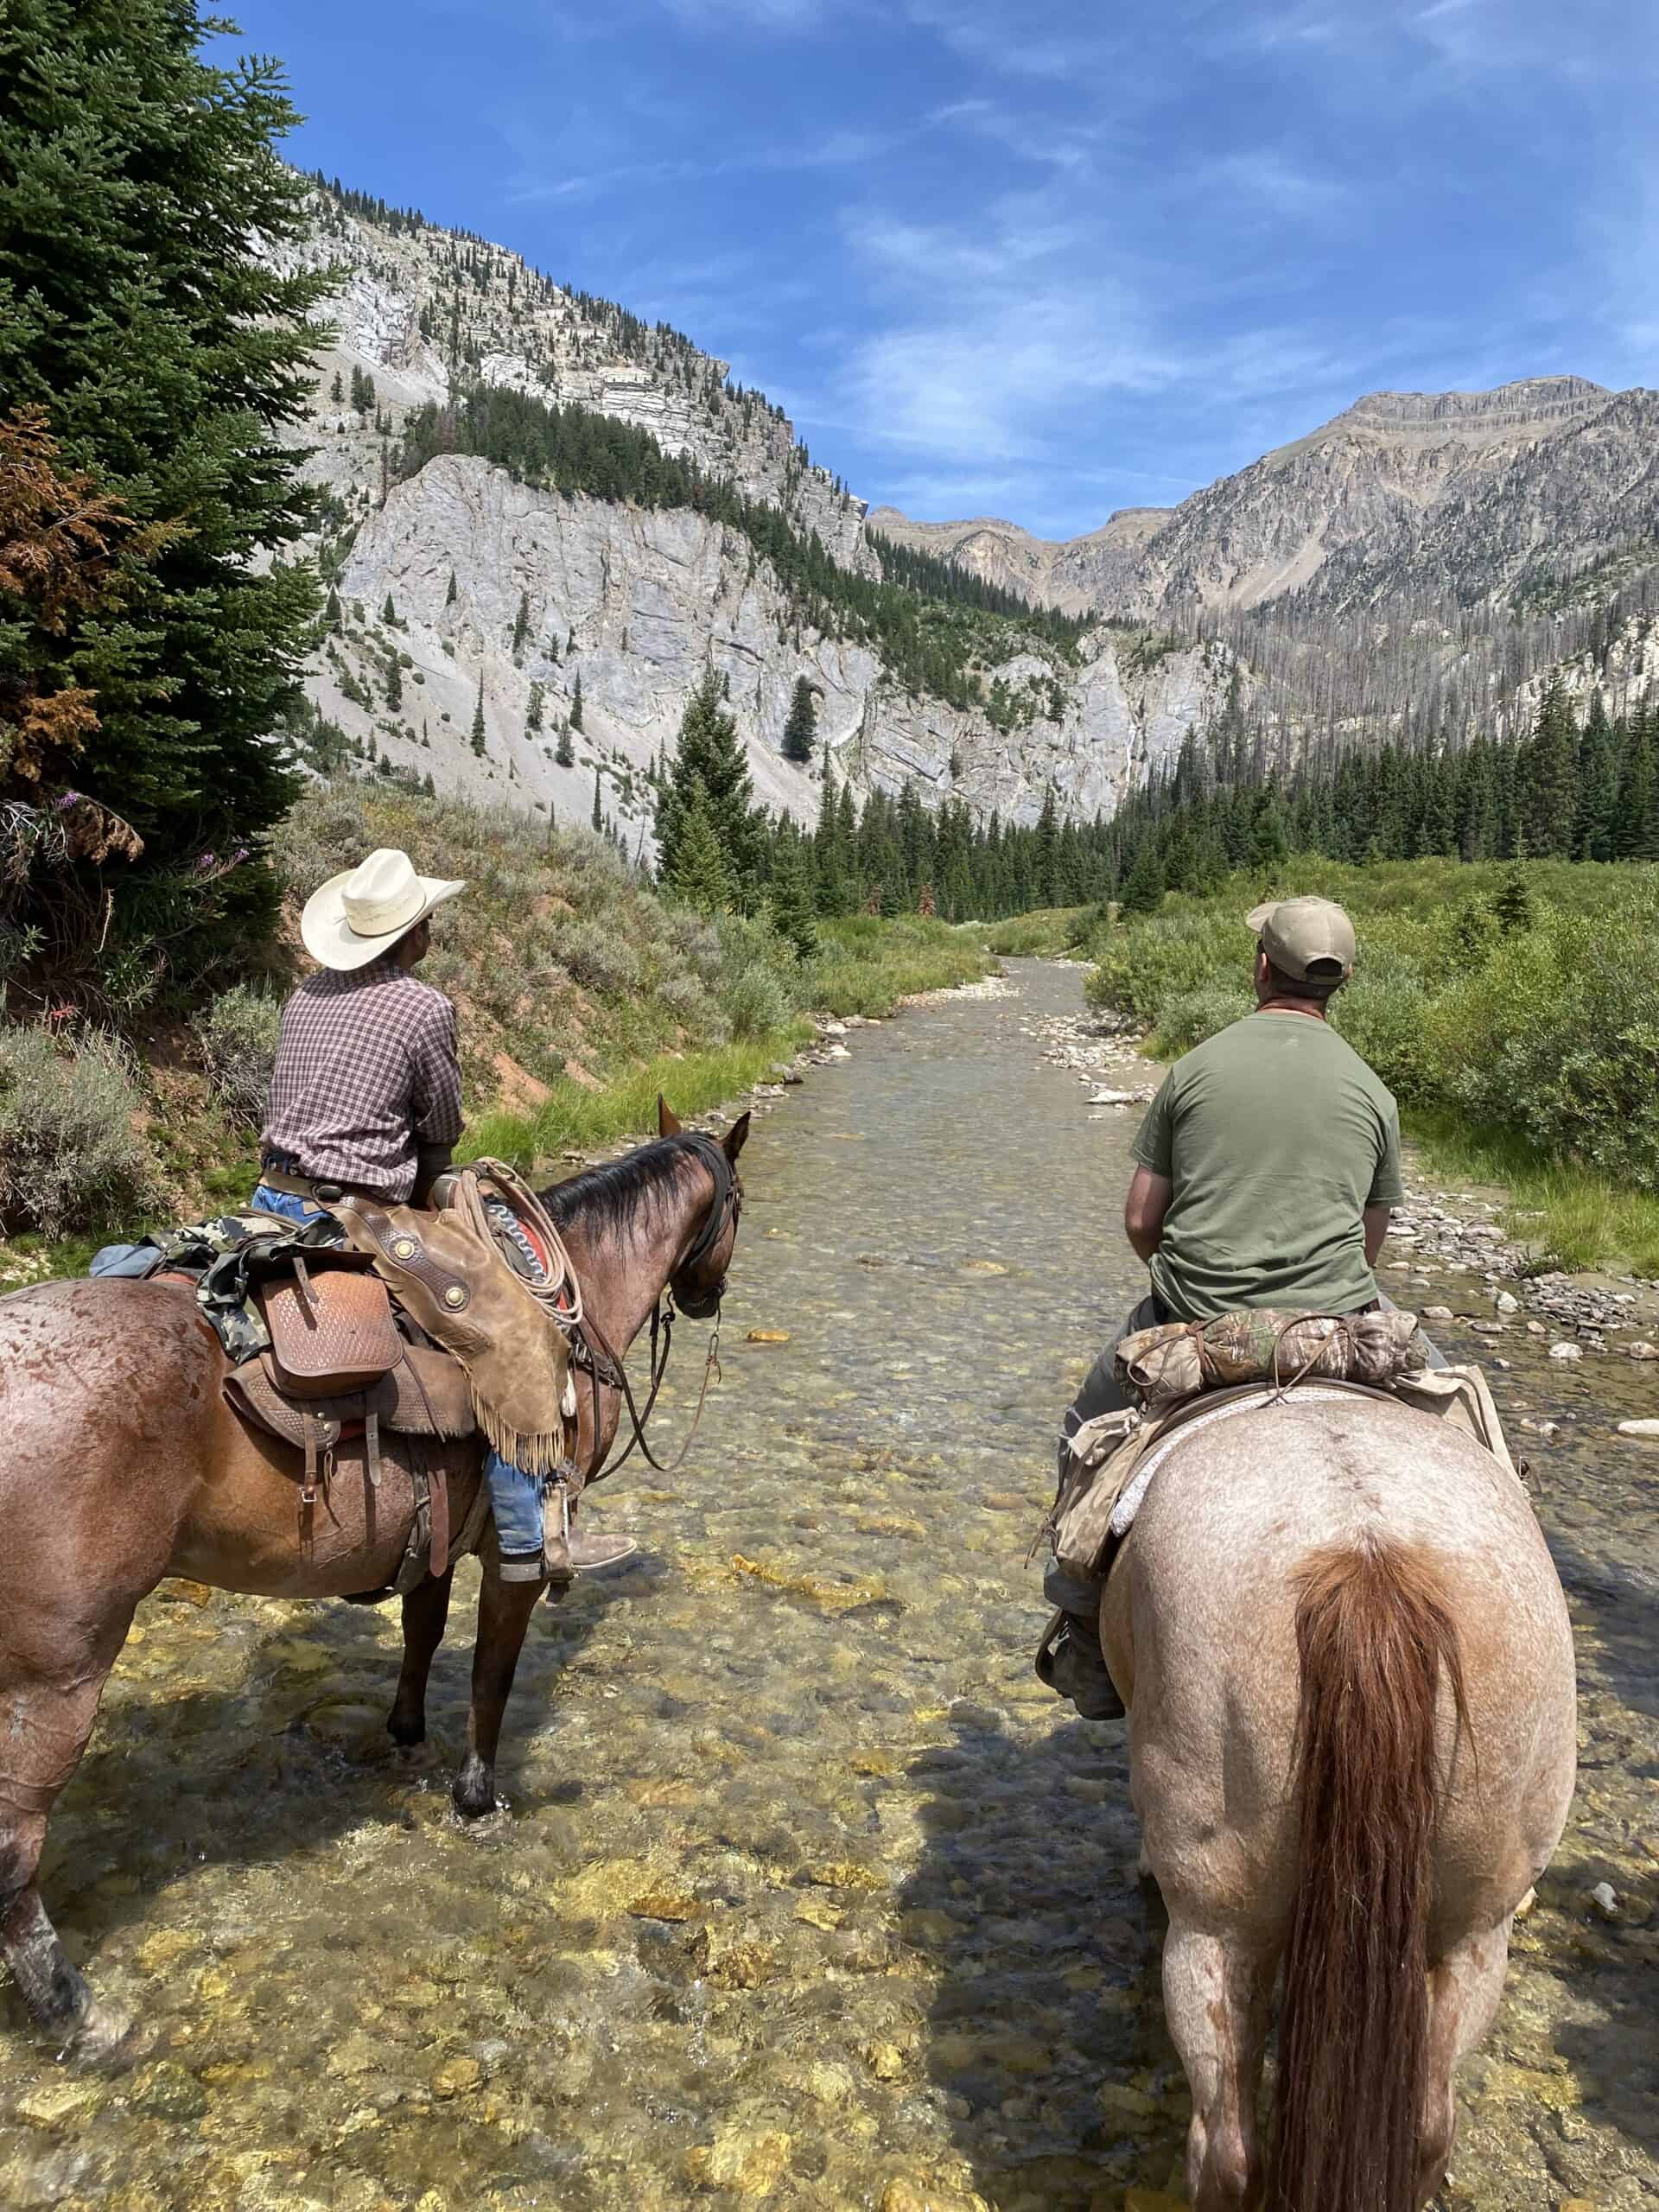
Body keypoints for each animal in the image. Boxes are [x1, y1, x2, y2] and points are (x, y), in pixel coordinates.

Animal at [0, 1101, 747, 2052]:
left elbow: (422, 1637)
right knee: (13, 1845)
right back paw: (77, 2012)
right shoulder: (513, 1556)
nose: (708, 1296)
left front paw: (405, 1734)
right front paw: (476, 1800)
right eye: (738, 1205)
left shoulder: (432, 1540)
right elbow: (492, 1676)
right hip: (58, 1671)